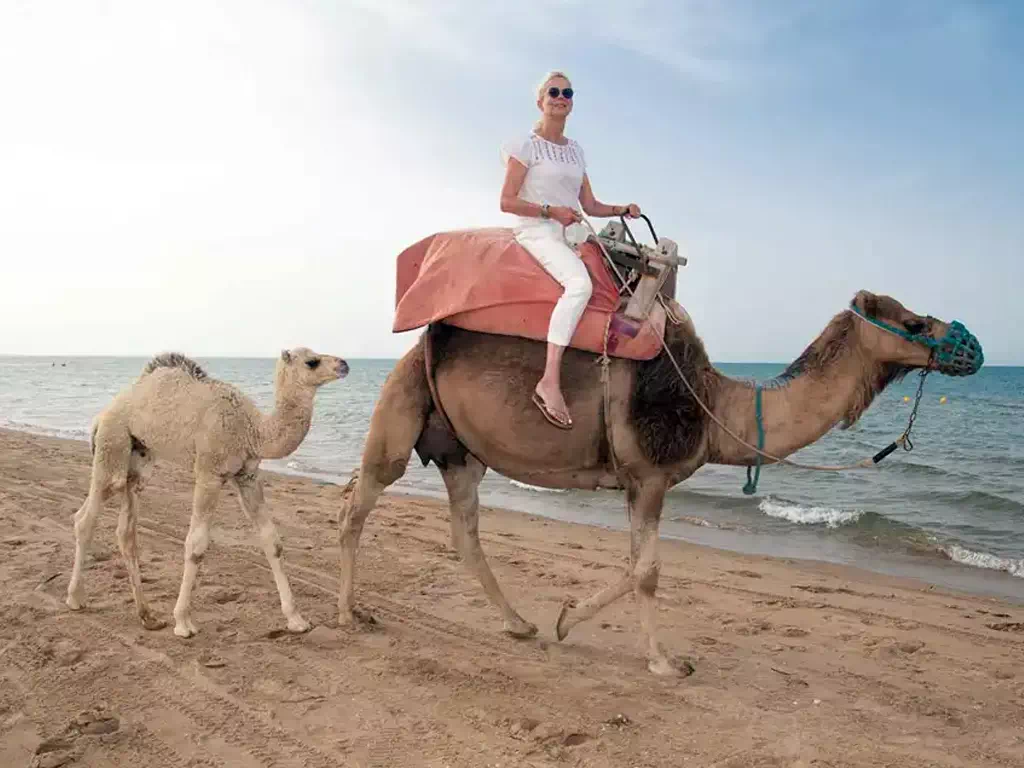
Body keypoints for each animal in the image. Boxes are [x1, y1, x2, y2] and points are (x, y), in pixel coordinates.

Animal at [68, 348, 350, 638]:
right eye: (312, 361)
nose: (344, 365)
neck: (252, 429)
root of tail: (100, 417)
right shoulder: (209, 474)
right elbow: (196, 545)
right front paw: (183, 622)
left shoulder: (247, 476)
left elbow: (272, 541)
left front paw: (296, 619)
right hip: (111, 445)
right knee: (85, 518)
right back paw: (76, 598)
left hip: (138, 462)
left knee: (126, 532)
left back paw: (148, 616)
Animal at [335, 290, 983, 675]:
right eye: (913, 321)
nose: (970, 349)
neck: (718, 407)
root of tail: (419, 342)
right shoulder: (650, 477)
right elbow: (647, 571)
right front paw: (666, 663)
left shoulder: (634, 484)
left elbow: (632, 565)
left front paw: (565, 618)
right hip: (402, 401)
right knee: (357, 504)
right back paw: (349, 616)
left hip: (461, 451)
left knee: (465, 534)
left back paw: (518, 624)